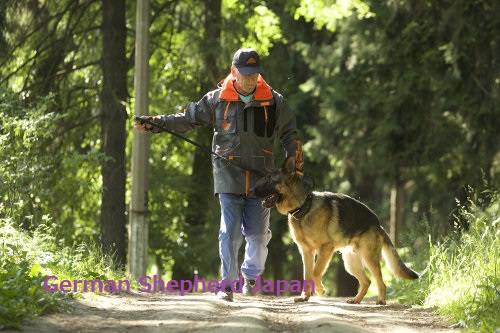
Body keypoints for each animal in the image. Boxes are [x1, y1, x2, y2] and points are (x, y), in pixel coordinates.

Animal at [250, 156, 418, 304]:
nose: (250, 190)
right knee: (366, 281)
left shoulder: (325, 248)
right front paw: (305, 296)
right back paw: (356, 300)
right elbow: (307, 274)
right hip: (350, 263)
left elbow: (316, 272)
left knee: (380, 282)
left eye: (269, 179)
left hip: (369, 258)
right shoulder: (306, 252)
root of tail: (378, 224)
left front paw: (320, 289)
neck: (304, 207)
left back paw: (381, 300)